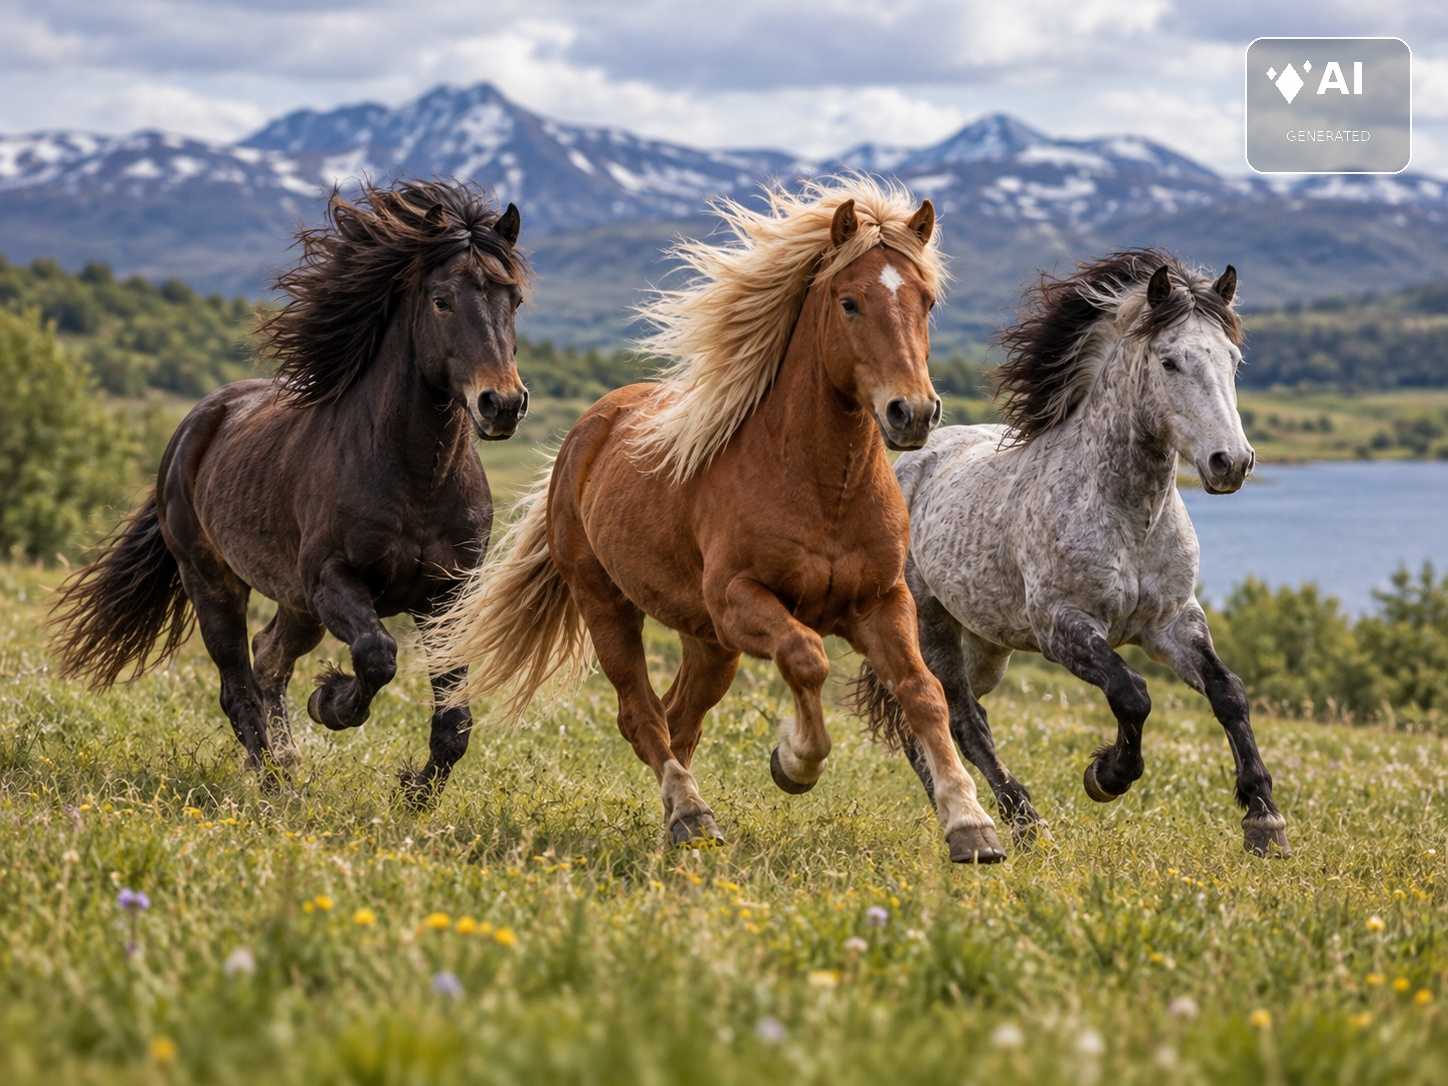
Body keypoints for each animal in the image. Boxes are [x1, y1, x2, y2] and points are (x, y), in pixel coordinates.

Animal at [50, 179, 530, 804]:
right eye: (442, 300)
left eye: (513, 301)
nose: (503, 405)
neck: (415, 478)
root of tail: (194, 425)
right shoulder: (332, 580)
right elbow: (377, 656)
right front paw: (331, 703)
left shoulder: (447, 596)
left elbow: (455, 717)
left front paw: (414, 794)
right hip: (215, 583)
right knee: (238, 683)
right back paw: (275, 779)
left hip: (296, 604)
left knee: (269, 656)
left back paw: (286, 761)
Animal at [425, 177, 1007, 863]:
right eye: (850, 302)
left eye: (927, 301)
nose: (911, 412)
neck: (821, 486)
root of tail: (588, 430)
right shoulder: (740, 599)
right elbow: (807, 657)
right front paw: (794, 762)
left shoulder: (882, 602)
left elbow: (924, 693)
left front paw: (971, 825)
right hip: (610, 606)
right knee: (641, 714)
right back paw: (690, 813)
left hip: (708, 642)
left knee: (679, 718)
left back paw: (681, 815)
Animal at [852, 250, 1290, 858]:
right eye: (1170, 362)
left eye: (1233, 360)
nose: (1232, 463)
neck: (1129, 516)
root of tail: (909, 464)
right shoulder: (1064, 626)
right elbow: (1132, 694)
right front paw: (1107, 776)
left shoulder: (1174, 622)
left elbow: (1229, 693)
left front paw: (1264, 821)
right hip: (931, 626)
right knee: (960, 716)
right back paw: (1018, 821)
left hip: (985, 644)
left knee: (937, 714)